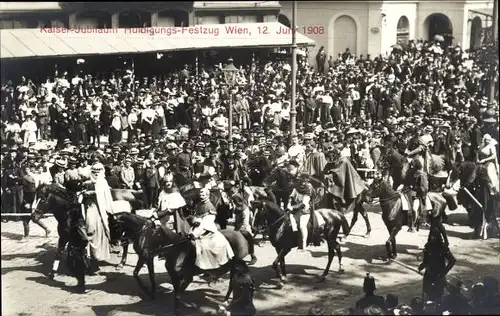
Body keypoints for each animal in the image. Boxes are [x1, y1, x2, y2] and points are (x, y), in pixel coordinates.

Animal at [107, 211, 252, 312]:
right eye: (109, 225)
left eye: (115, 226)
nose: (113, 242)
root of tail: (240, 233)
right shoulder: (147, 258)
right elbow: (144, 275)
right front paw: (152, 292)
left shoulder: (146, 257)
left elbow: (146, 275)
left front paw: (150, 292)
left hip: (234, 265)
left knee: (233, 282)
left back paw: (224, 296)